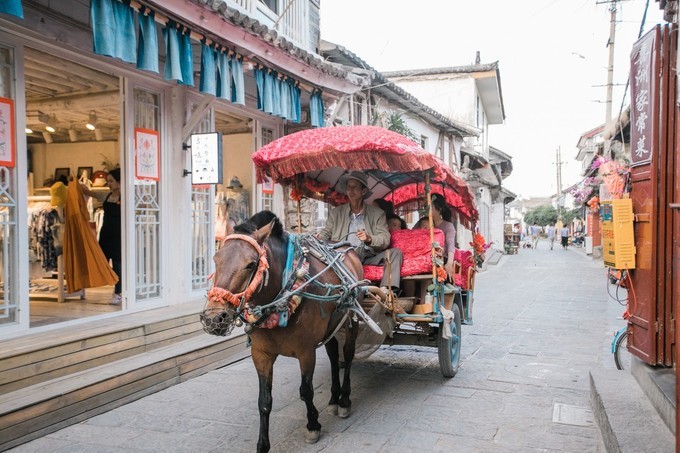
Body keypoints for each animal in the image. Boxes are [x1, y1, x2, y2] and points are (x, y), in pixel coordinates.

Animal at [199, 212, 380, 452]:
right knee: (334, 355)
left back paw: (343, 400)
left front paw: (313, 425)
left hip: (351, 318)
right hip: (331, 326)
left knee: (348, 356)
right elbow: (264, 401)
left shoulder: (306, 352)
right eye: (216, 259)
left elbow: (306, 390)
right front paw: (262, 444)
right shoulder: (261, 354)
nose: (213, 319)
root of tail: (345, 247)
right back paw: (333, 398)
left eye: (251, 264)